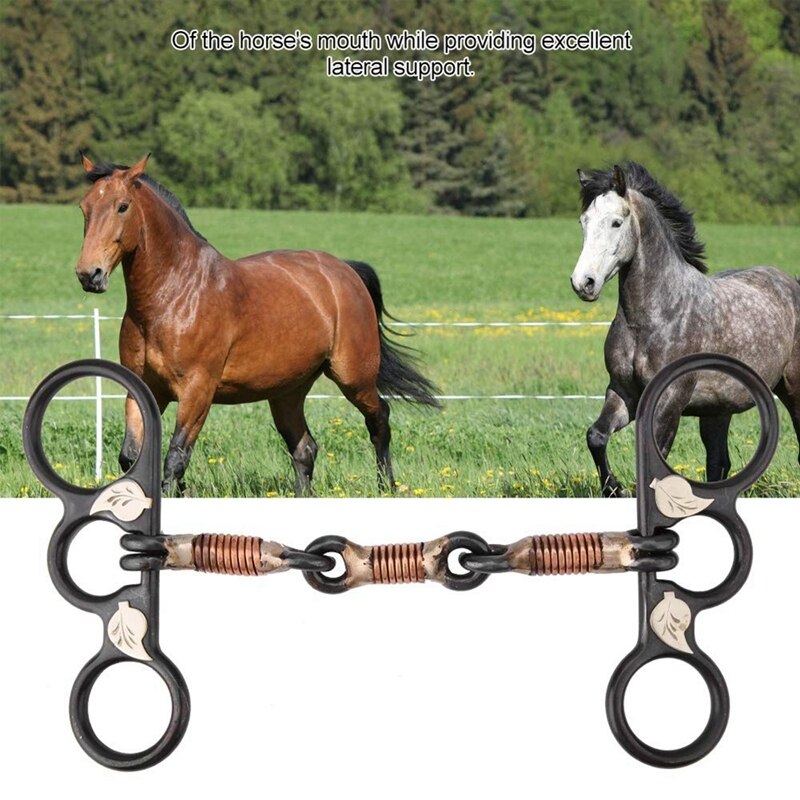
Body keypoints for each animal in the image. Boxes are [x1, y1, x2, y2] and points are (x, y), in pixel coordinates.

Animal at [74, 153, 439, 495]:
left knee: (379, 420)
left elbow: (176, 457)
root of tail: (344, 271)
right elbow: (132, 456)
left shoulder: (197, 392)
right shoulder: (145, 388)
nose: (89, 274)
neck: (174, 297)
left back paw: (386, 486)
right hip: (288, 392)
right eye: (84, 207)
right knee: (305, 449)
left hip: (354, 377)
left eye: (122, 206)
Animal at [570, 161, 800, 497]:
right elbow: (596, 436)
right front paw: (614, 489)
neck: (653, 318)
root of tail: (790, 282)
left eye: (615, 222)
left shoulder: (670, 399)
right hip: (717, 411)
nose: (583, 283)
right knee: (718, 463)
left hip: (792, 388)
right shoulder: (623, 393)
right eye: (583, 222)